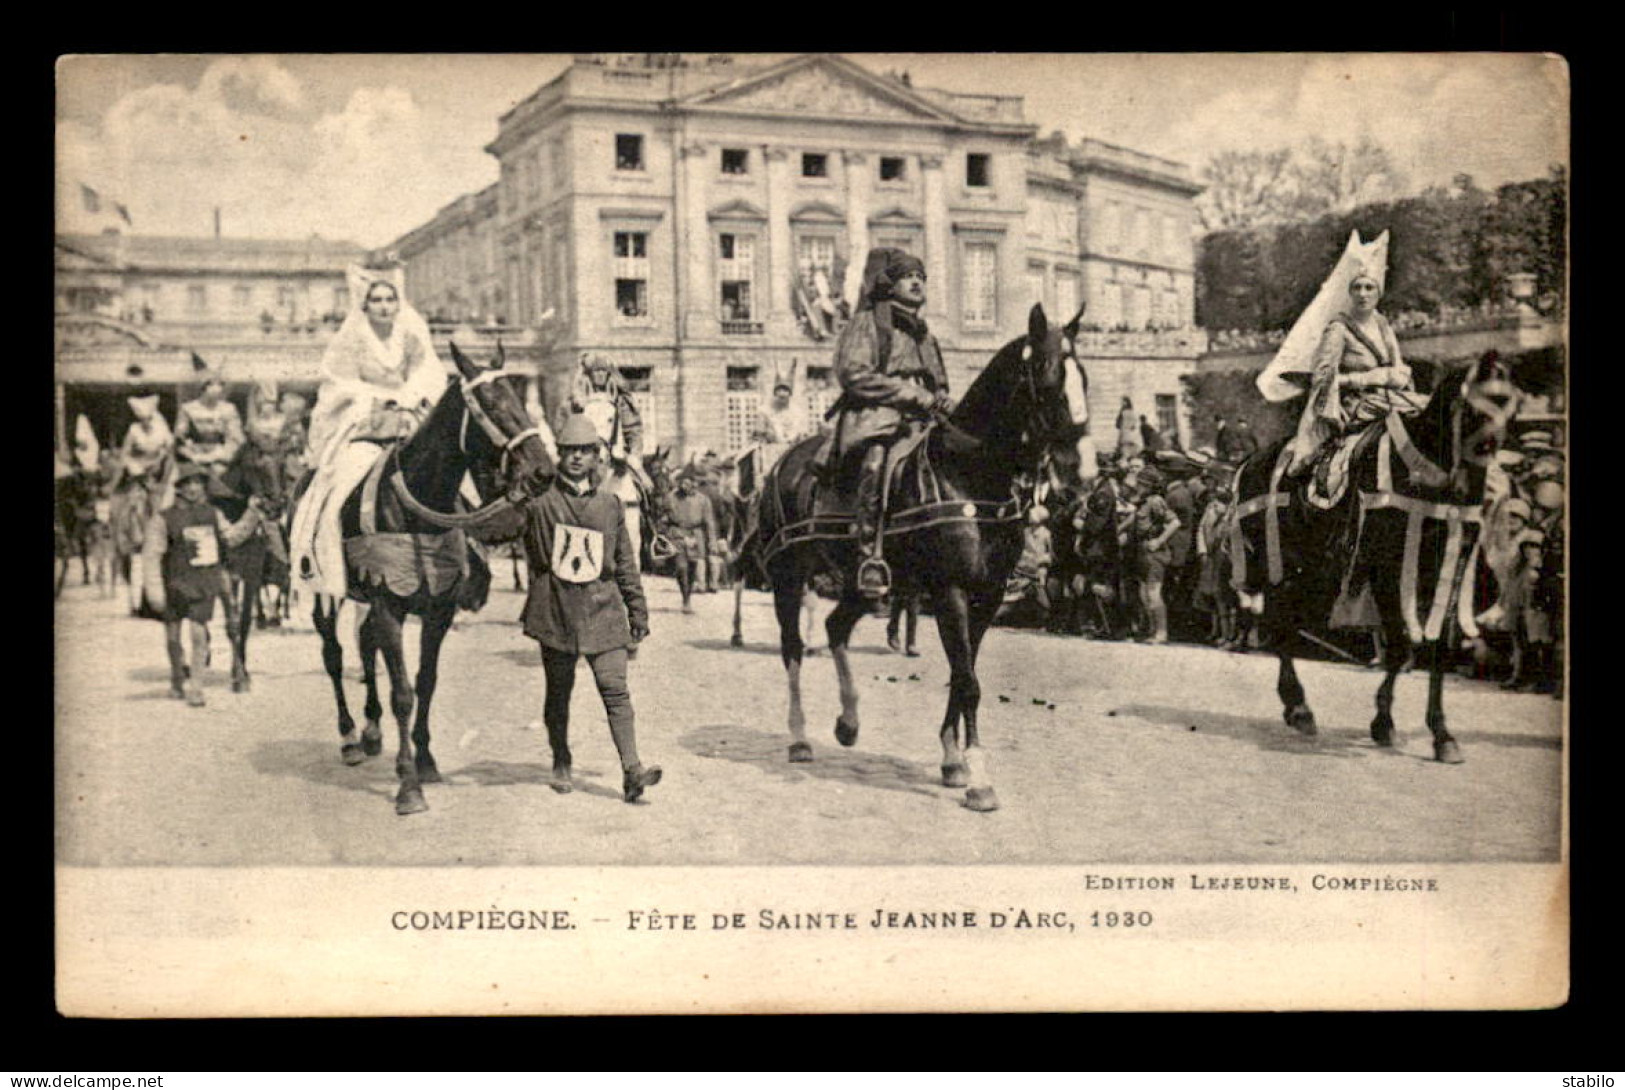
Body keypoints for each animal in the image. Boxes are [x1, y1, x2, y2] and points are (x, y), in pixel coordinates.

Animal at [305, 346, 559, 815]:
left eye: (521, 397)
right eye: (491, 404)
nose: (543, 471)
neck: (417, 505)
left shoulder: (436, 608)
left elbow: (426, 682)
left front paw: (424, 761)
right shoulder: (389, 604)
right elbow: (403, 692)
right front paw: (408, 786)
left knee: (365, 644)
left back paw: (371, 731)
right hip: (324, 590)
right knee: (333, 655)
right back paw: (349, 736)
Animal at [744, 302, 1085, 815]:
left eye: (1084, 374)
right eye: (1047, 376)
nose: (1075, 474)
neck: (967, 472)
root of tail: (784, 462)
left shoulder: (987, 596)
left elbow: (962, 675)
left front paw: (953, 760)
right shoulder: (951, 592)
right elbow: (968, 682)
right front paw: (980, 781)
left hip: (863, 582)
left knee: (836, 627)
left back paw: (848, 721)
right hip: (788, 576)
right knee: (793, 648)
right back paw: (799, 737)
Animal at [1235, 354, 1514, 763]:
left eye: (1509, 403)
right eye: (1474, 406)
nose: (1478, 486)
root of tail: (1250, 462)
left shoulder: (1450, 567)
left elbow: (1438, 646)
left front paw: (1441, 734)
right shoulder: (1386, 568)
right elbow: (1399, 645)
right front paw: (1384, 722)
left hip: (1314, 572)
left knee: (1285, 623)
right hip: (1283, 565)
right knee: (1280, 624)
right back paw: (1298, 707)